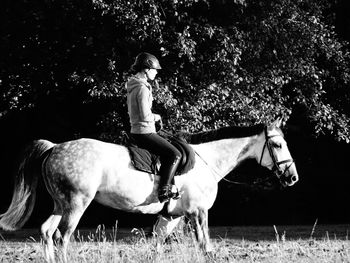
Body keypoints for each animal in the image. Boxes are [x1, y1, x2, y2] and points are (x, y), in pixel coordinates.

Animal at [0, 118, 298, 262]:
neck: (207, 161)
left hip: (60, 205)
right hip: (76, 205)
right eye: (278, 145)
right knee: (62, 237)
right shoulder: (199, 213)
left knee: (46, 231)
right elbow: (205, 247)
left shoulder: (172, 216)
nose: (292, 177)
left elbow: (156, 246)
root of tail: (54, 148)